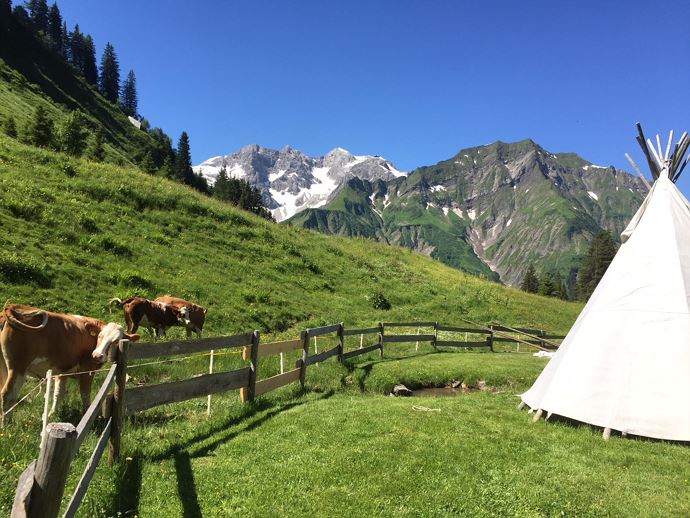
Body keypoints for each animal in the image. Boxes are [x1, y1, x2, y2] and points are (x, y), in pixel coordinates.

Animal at [0, 304, 140, 426]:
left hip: (5, 368)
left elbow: (58, 393)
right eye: (100, 336)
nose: (97, 355)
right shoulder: (87, 371)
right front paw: (88, 414)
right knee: (8, 395)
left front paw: (52, 413)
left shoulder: (62, 370)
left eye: (116, 341)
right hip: (18, 368)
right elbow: (85, 394)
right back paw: (7, 424)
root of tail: (12, 307)